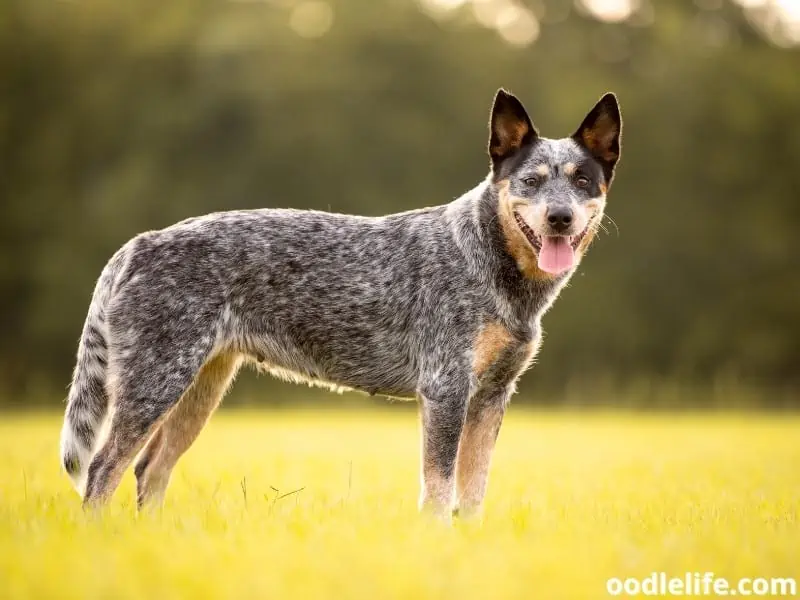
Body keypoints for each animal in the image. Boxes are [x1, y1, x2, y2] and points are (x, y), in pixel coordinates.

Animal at [59, 90, 620, 520]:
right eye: (531, 181)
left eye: (582, 181)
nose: (560, 217)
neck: (486, 260)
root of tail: (139, 244)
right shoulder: (446, 389)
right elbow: (439, 488)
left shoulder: (492, 397)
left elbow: (474, 491)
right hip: (156, 385)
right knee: (103, 469)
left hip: (199, 389)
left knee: (149, 469)